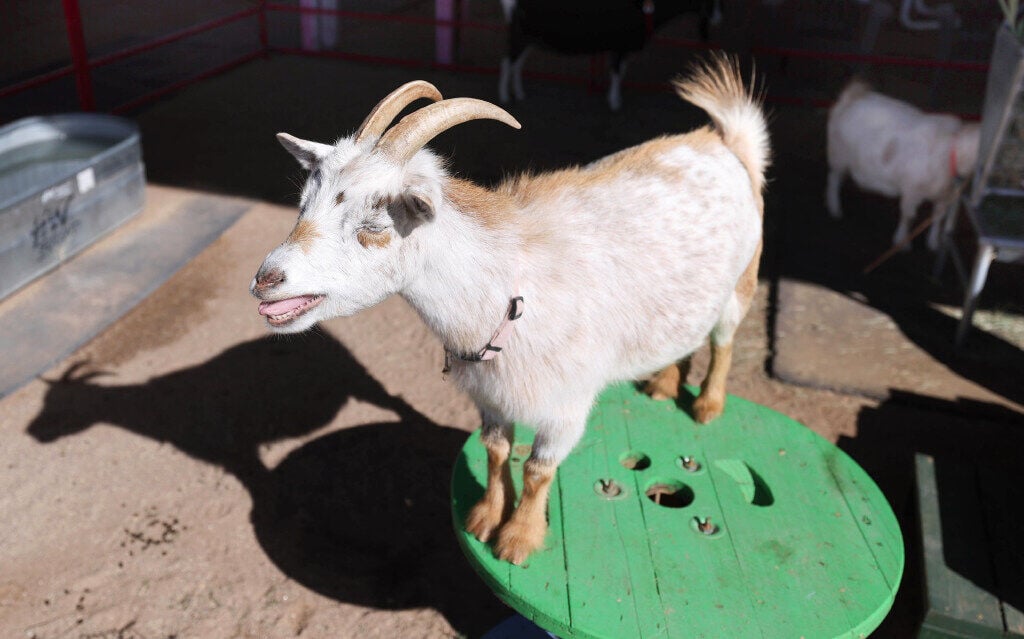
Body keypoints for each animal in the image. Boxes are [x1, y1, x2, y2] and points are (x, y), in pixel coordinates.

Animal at [251, 54, 768, 564]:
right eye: (303, 204)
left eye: (376, 224)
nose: (265, 280)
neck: (506, 288)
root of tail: (724, 142)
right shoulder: (490, 397)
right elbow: (497, 450)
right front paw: (484, 518)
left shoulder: (566, 407)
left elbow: (539, 469)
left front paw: (518, 539)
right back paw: (663, 385)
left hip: (742, 283)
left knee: (724, 341)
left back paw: (706, 406)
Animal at [499, 0, 721, 111]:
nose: (719, 18)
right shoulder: (622, 45)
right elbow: (617, 72)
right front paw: (615, 101)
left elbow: (618, 70)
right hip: (520, 36)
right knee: (507, 62)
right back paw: (504, 95)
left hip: (530, 39)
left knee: (517, 64)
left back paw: (518, 92)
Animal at [826, 80, 980, 250]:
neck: (951, 152)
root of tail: (853, 96)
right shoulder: (912, 189)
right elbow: (908, 216)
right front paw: (902, 241)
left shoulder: (945, 195)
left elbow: (938, 217)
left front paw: (933, 242)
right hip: (838, 155)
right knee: (833, 179)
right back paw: (835, 208)